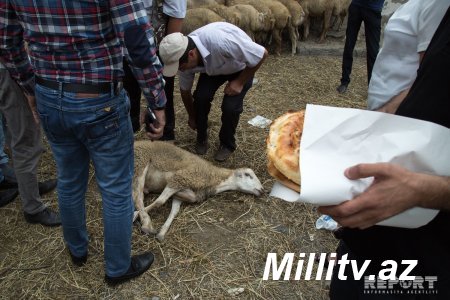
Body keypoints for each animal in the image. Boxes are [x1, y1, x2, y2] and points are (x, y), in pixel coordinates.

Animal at [131, 141, 264, 241]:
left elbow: (176, 210)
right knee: (138, 196)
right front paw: (137, 215)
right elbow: (160, 201)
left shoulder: (182, 188)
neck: (213, 177)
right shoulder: (179, 178)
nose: (262, 190)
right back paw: (146, 223)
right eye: (248, 175)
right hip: (140, 165)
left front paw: (161, 233)